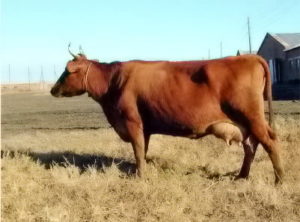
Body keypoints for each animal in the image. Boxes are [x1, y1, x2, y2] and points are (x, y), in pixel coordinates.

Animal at [51, 48, 284, 184]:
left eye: (67, 72)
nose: (53, 89)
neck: (113, 82)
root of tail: (249, 56)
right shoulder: (144, 127)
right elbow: (142, 150)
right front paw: (142, 172)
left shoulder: (132, 121)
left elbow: (137, 151)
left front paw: (140, 177)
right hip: (246, 124)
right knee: (251, 147)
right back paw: (241, 177)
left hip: (253, 118)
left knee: (269, 143)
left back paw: (279, 179)